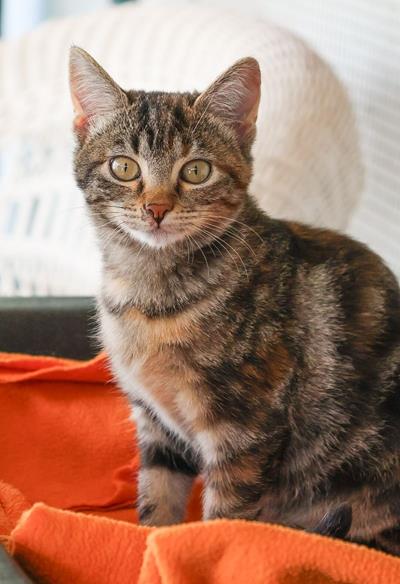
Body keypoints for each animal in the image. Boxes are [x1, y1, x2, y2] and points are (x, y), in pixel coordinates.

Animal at [69, 46, 400, 553]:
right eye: (124, 167)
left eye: (196, 171)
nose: (157, 208)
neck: (150, 288)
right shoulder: (155, 424)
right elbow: (157, 500)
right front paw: (149, 547)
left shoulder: (244, 428)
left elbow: (226, 519)